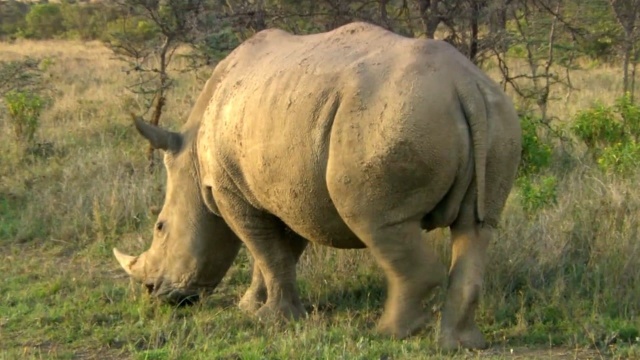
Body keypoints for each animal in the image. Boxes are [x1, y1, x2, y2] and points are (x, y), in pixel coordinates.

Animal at [114, 21, 520, 350]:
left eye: (160, 227)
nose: (154, 293)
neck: (194, 165)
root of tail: (463, 84)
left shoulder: (233, 192)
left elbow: (265, 251)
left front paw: (272, 319)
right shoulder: (288, 191)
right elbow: (277, 253)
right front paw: (252, 307)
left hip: (393, 119)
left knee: (379, 222)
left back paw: (389, 333)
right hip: (495, 117)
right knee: (476, 227)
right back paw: (461, 344)